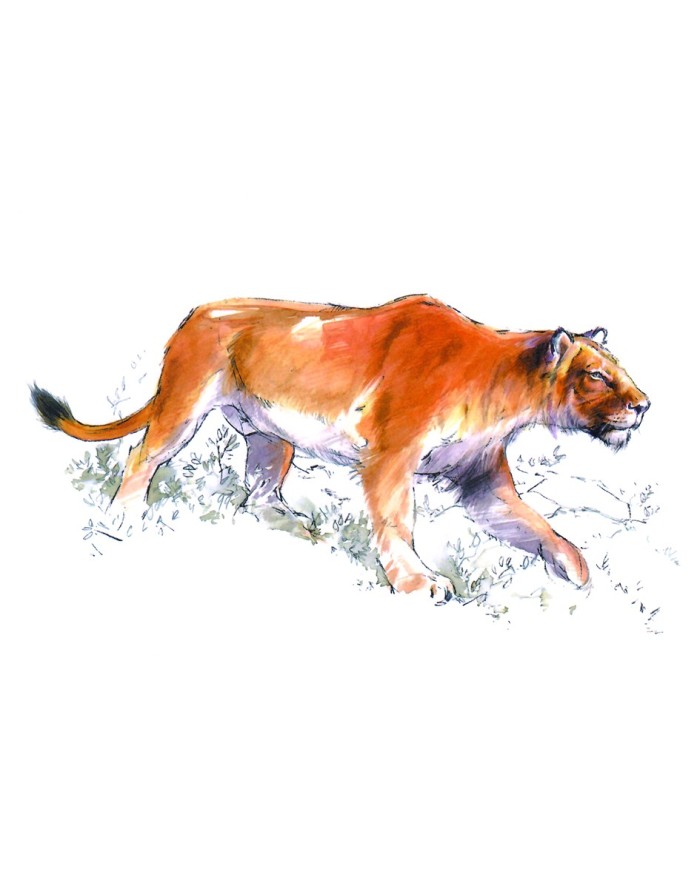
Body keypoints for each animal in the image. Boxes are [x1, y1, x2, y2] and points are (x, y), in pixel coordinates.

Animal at [31, 295, 649, 601]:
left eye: (620, 370)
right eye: (597, 376)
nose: (644, 405)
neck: (505, 394)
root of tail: (194, 315)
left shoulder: (481, 481)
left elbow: (535, 525)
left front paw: (576, 572)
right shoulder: (392, 456)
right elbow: (397, 522)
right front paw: (419, 584)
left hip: (270, 436)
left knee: (257, 496)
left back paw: (297, 527)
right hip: (183, 407)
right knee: (144, 458)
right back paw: (121, 522)